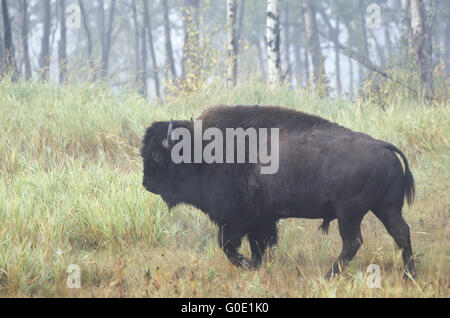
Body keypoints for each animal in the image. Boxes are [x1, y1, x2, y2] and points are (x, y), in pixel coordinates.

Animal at [140, 105, 414, 278]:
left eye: (157, 156)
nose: (147, 184)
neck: (202, 150)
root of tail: (383, 147)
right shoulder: (262, 220)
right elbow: (258, 246)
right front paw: (256, 267)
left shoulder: (237, 219)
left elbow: (229, 246)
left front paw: (246, 265)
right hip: (386, 208)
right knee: (400, 233)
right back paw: (408, 274)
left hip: (349, 212)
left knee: (352, 241)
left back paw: (328, 275)